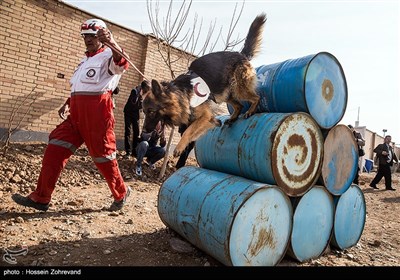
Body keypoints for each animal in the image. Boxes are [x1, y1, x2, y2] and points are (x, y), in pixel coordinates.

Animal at [141, 13, 266, 158]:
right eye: (144, 111)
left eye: (151, 111)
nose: (143, 131)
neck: (181, 93)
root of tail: (241, 54)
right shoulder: (208, 119)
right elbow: (196, 129)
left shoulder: (205, 116)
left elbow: (188, 131)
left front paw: (179, 147)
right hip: (225, 95)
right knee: (239, 105)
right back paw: (233, 118)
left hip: (238, 89)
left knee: (256, 97)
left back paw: (250, 110)